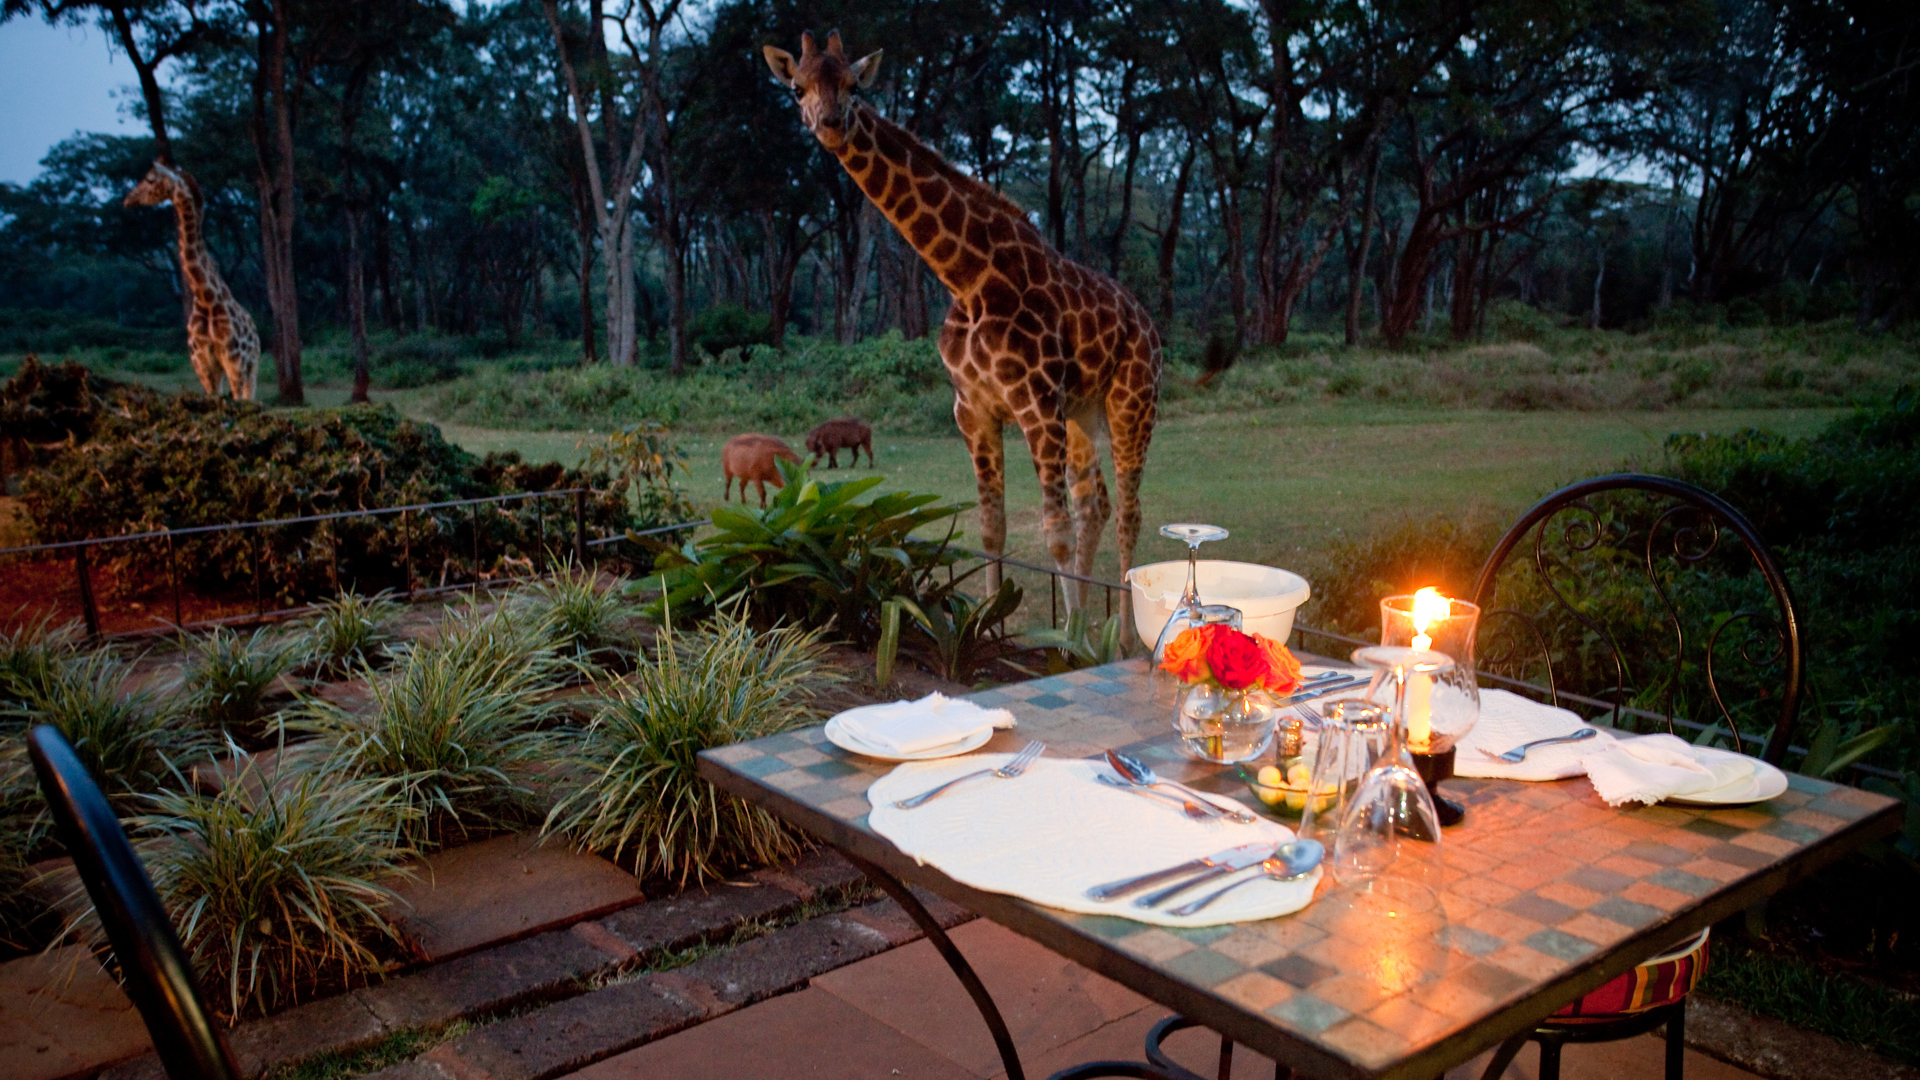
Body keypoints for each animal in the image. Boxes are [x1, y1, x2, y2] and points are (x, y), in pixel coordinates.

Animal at [124, 162, 261, 401]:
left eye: (150, 179)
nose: (128, 199)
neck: (207, 299)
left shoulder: (235, 361)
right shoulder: (203, 365)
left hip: (251, 365)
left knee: (249, 396)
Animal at [765, 31, 1162, 616]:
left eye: (856, 85)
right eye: (797, 88)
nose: (831, 122)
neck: (967, 278)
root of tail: (1148, 323)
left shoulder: (1036, 404)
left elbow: (1054, 533)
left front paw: (1067, 637)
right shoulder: (974, 410)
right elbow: (992, 529)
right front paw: (996, 624)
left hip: (1132, 401)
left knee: (1128, 514)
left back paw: (1121, 632)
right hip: (1082, 413)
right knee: (1097, 506)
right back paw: (1095, 623)